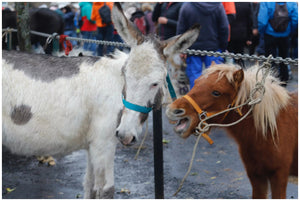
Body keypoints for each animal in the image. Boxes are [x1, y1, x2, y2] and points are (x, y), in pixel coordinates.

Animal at [166, 63, 298, 199]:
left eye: (216, 92)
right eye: (196, 82)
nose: (174, 110)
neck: (269, 129)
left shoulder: (279, 176)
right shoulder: (256, 176)